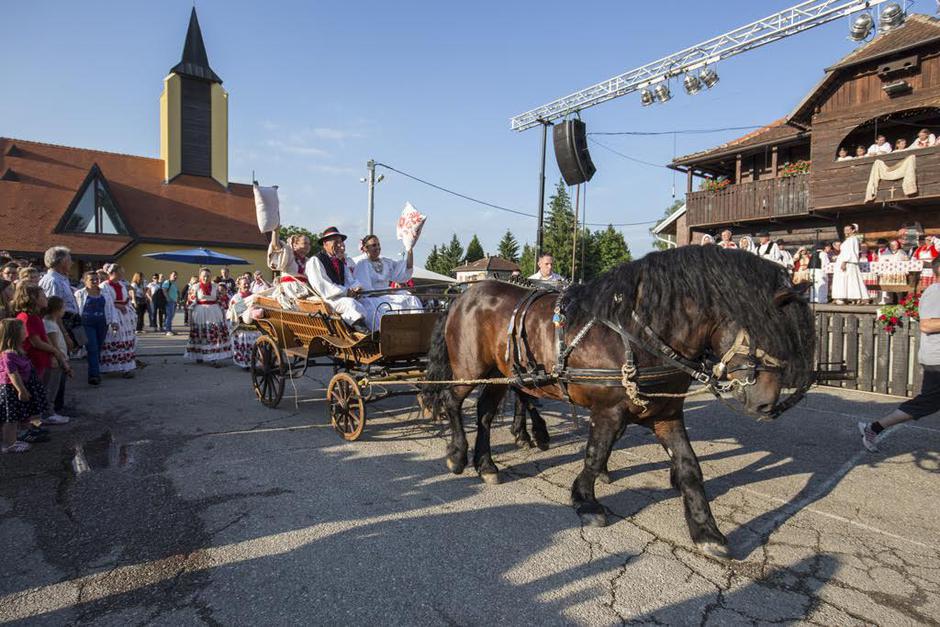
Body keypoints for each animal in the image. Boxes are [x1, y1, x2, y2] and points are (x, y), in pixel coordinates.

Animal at [426, 247, 816, 560]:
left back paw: (487, 464)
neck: (638, 335)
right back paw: (458, 454)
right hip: (470, 371)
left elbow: (690, 467)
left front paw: (706, 530)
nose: (767, 404)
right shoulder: (609, 411)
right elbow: (595, 453)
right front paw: (586, 500)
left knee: (485, 413)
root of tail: (465, 294)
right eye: (764, 329)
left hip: (501, 374)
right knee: (451, 401)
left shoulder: (666, 414)